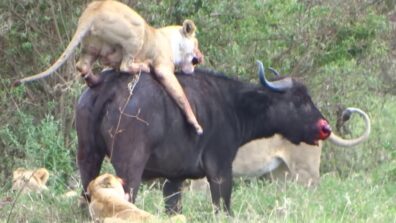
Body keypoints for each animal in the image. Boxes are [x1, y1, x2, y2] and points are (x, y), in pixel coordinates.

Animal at [13, 0, 204, 134]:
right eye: (196, 43)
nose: (201, 58)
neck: (171, 39)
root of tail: (94, 10)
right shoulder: (164, 69)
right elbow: (181, 97)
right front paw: (196, 125)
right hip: (136, 32)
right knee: (125, 65)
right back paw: (141, 67)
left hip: (91, 46)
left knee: (83, 65)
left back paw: (96, 79)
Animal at [75, 60, 332, 213]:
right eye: (298, 100)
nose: (325, 127)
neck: (232, 104)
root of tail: (108, 86)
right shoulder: (220, 171)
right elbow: (223, 208)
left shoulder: (173, 179)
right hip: (129, 167)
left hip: (88, 157)